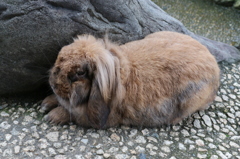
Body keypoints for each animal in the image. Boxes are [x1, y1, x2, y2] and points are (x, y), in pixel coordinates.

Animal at [40, 31, 219, 129]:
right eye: (59, 58)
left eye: (80, 73)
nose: (53, 84)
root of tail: (215, 66)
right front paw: (45, 103)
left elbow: (72, 113)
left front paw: (51, 116)